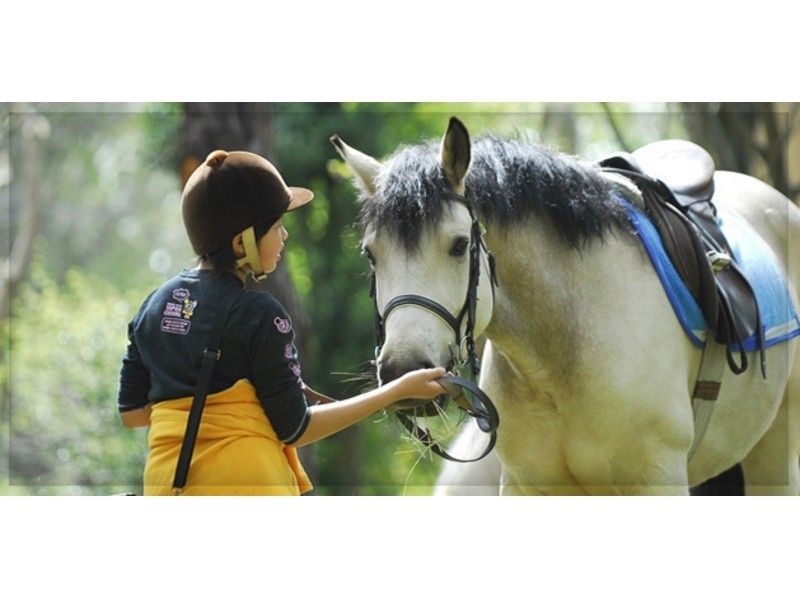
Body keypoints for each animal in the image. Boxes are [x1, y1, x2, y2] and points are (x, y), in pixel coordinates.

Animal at [331, 117, 800, 495]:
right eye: (372, 254)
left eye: (459, 245)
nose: (403, 371)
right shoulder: (526, 487)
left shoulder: (657, 479)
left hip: (774, 457)